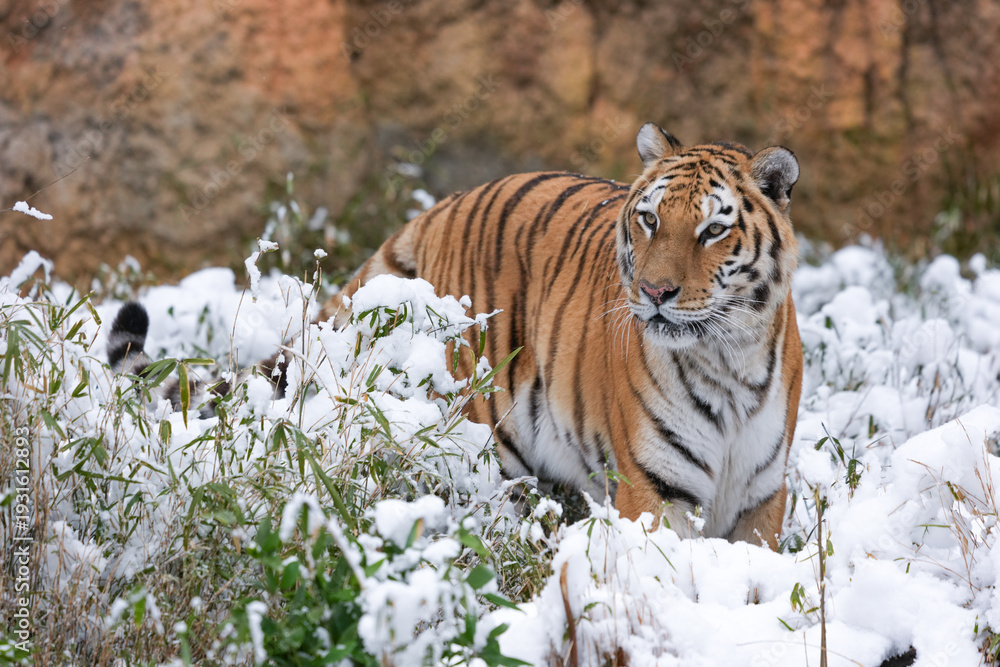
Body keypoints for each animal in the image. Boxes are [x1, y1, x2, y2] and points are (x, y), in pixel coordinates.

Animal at [319, 122, 803, 549]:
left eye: (714, 230)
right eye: (650, 219)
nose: (654, 292)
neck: (727, 359)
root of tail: (449, 204)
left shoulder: (762, 497)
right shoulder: (653, 488)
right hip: (482, 435)